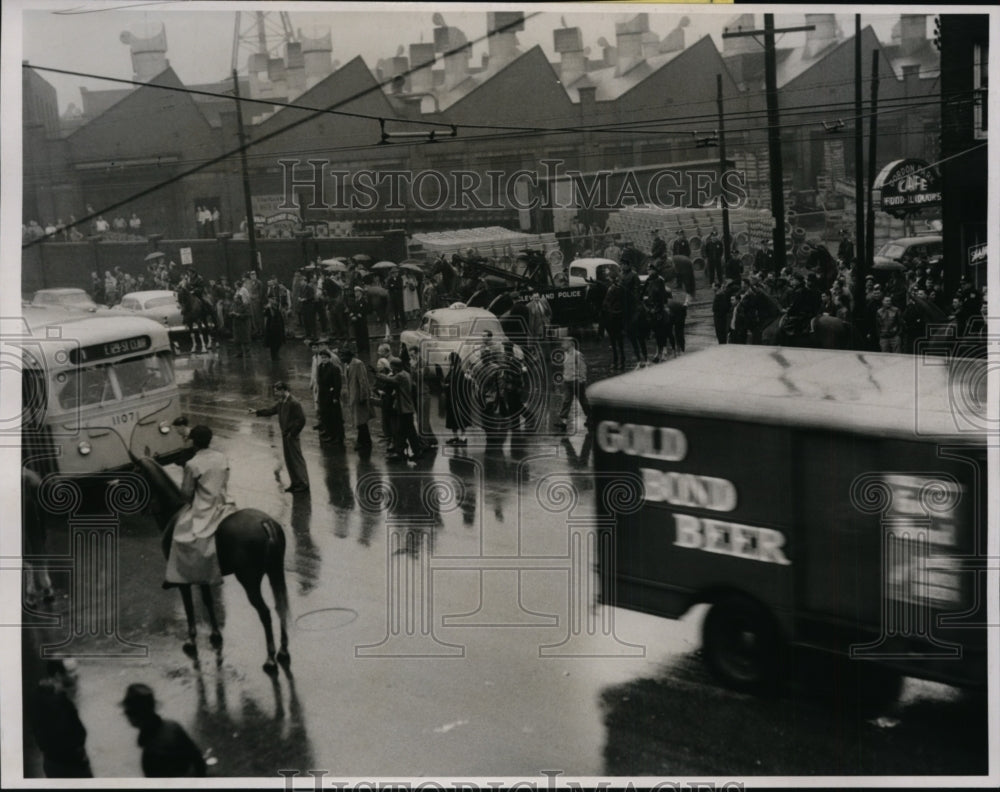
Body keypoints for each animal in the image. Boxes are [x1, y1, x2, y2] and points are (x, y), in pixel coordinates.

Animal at [133, 454, 292, 672]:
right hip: (275, 571)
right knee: (280, 606)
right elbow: (208, 601)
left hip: (249, 580)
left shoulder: (183, 580)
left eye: (133, 471)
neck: (175, 510)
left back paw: (270, 658)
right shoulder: (204, 575)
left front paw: (191, 640)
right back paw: (283, 652)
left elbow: (190, 607)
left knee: (265, 612)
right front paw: (215, 635)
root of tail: (265, 522)